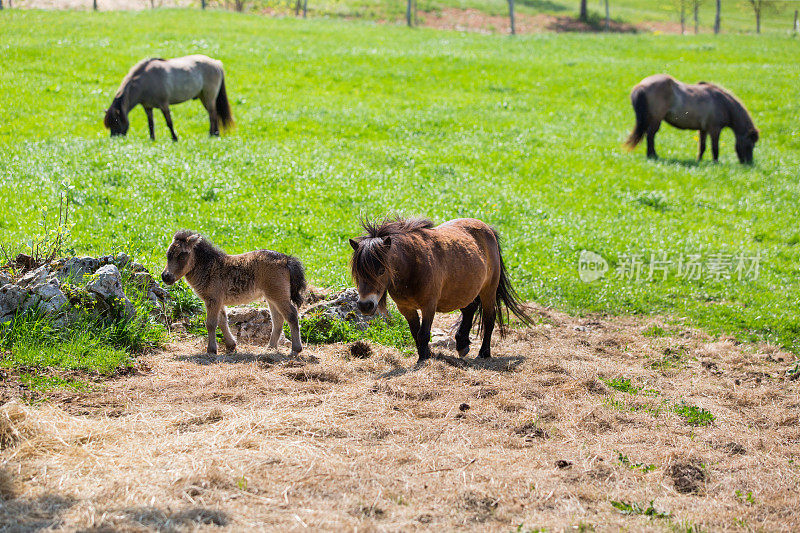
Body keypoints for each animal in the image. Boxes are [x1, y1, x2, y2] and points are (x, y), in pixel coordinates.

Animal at [104, 55, 233, 140]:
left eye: (116, 121)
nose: (114, 139)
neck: (145, 81)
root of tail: (216, 63)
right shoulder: (147, 107)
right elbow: (151, 124)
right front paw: (152, 139)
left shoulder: (164, 105)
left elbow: (169, 122)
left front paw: (174, 138)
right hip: (203, 98)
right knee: (213, 114)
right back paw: (215, 134)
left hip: (209, 97)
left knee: (213, 115)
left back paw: (212, 135)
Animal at [161, 231, 304, 356]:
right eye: (167, 254)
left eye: (182, 255)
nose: (165, 276)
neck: (209, 267)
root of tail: (286, 260)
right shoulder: (218, 301)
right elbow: (222, 321)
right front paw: (231, 346)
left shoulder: (213, 299)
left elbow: (211, 323)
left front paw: (211, 350)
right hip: (271, 297)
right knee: (278, 319)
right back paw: (270, 347)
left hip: (278, 295)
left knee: (291, 314)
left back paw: (295, 349)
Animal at [348, 216, 532, 362]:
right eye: (357, 272)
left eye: (381, 270)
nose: (365, 305)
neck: (413, 264)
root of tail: (488, 230)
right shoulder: (406, 308)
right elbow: (415, 333)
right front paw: (427, 355)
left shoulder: (429, 306)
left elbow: (423, 333)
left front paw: (423, 359)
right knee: (469, 310)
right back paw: (462, 344)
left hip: (488, 290)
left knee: (489, 319)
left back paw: (484, 353)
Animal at [624, 74, 756, 163]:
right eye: (750, 144)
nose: (749, 164)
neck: (723, 103)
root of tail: (641, 85)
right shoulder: (715, 129)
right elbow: (715, 148)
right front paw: (716, 163)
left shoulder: (703, 129)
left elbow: (702, 146)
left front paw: (699, 161)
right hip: (656, 119)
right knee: (651, 135)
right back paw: (652, 156)